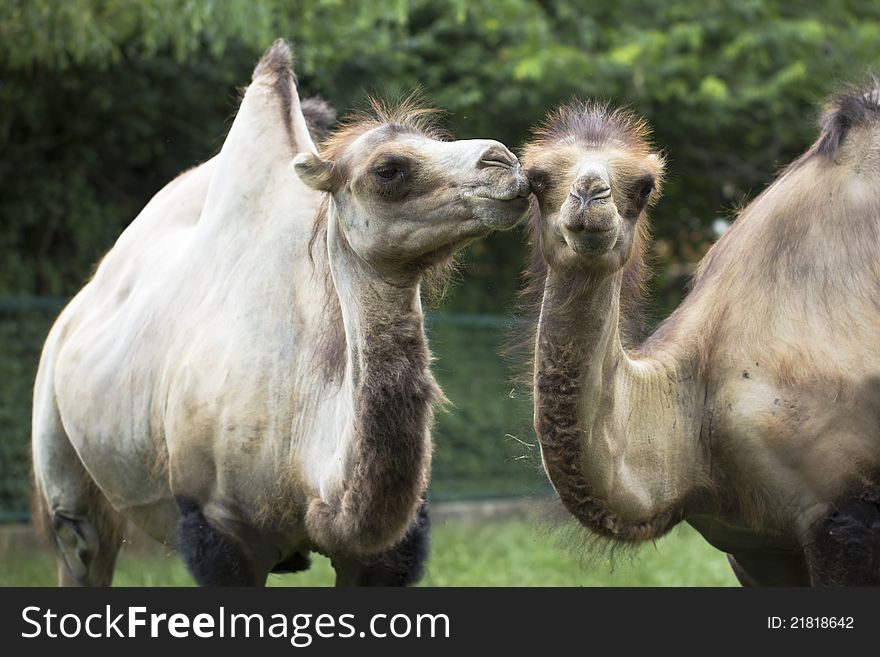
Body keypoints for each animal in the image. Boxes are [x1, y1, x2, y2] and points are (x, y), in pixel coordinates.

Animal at [31, 41, 528, 584]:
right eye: (388, 169)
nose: (505, 161)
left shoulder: (389, 546)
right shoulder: (218, 527)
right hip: (57, 440)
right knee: (82, 540)